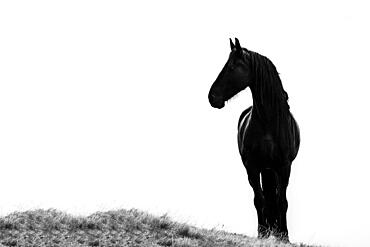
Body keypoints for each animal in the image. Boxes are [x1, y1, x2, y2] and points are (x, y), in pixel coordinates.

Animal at [210, 38, 300, 241]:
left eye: (232, 66)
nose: (212, 97)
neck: (269, 121)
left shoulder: (284, 166)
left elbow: (282, 200)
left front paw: (284, 235)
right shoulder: (252, 166)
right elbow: (259, 200)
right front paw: (263, 232)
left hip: (272, 169)